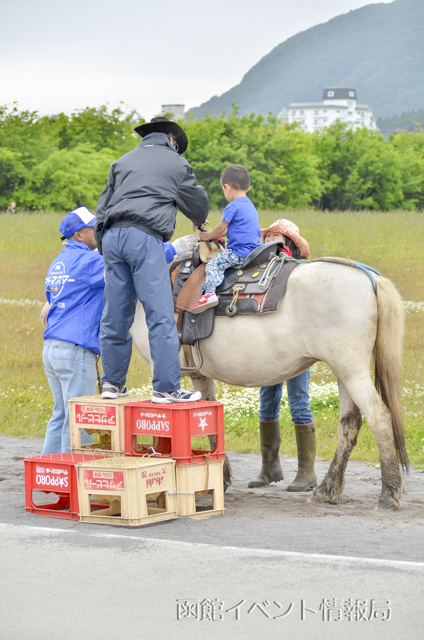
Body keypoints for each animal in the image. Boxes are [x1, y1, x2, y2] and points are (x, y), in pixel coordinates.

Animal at [132, 260, 408, 510]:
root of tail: (370, 278)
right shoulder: (199, 374)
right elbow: (208, 422)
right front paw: (219, 478)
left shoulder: (164, 370)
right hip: (345, 374)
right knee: (350, 425)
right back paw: (328, 489)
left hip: (353, 373)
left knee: (380, 419)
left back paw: (388, 493)